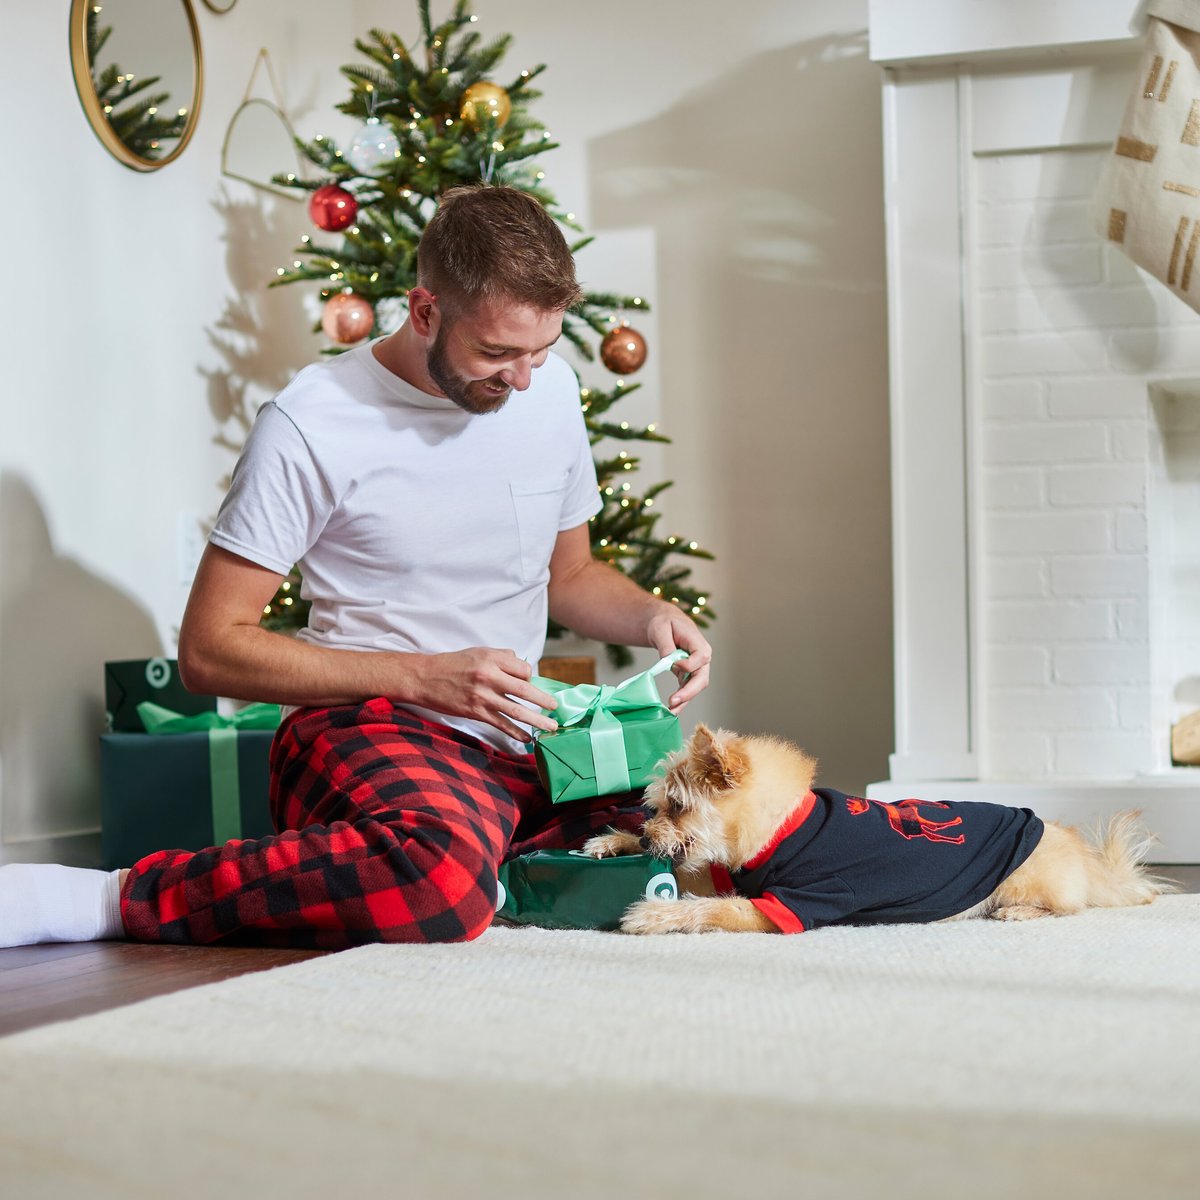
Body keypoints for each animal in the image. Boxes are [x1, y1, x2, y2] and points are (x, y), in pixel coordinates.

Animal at [580, 720, 1171, 936]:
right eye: (654, 809)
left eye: (677, 807)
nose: (649, 838)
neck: (781, 828)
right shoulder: (732, 872)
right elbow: (702, 883)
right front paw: (610, 840)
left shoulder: (789, 904)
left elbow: (709, 907)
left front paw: (654, 913)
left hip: (1026, 879)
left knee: (1068, 907)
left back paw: (1020, 912)